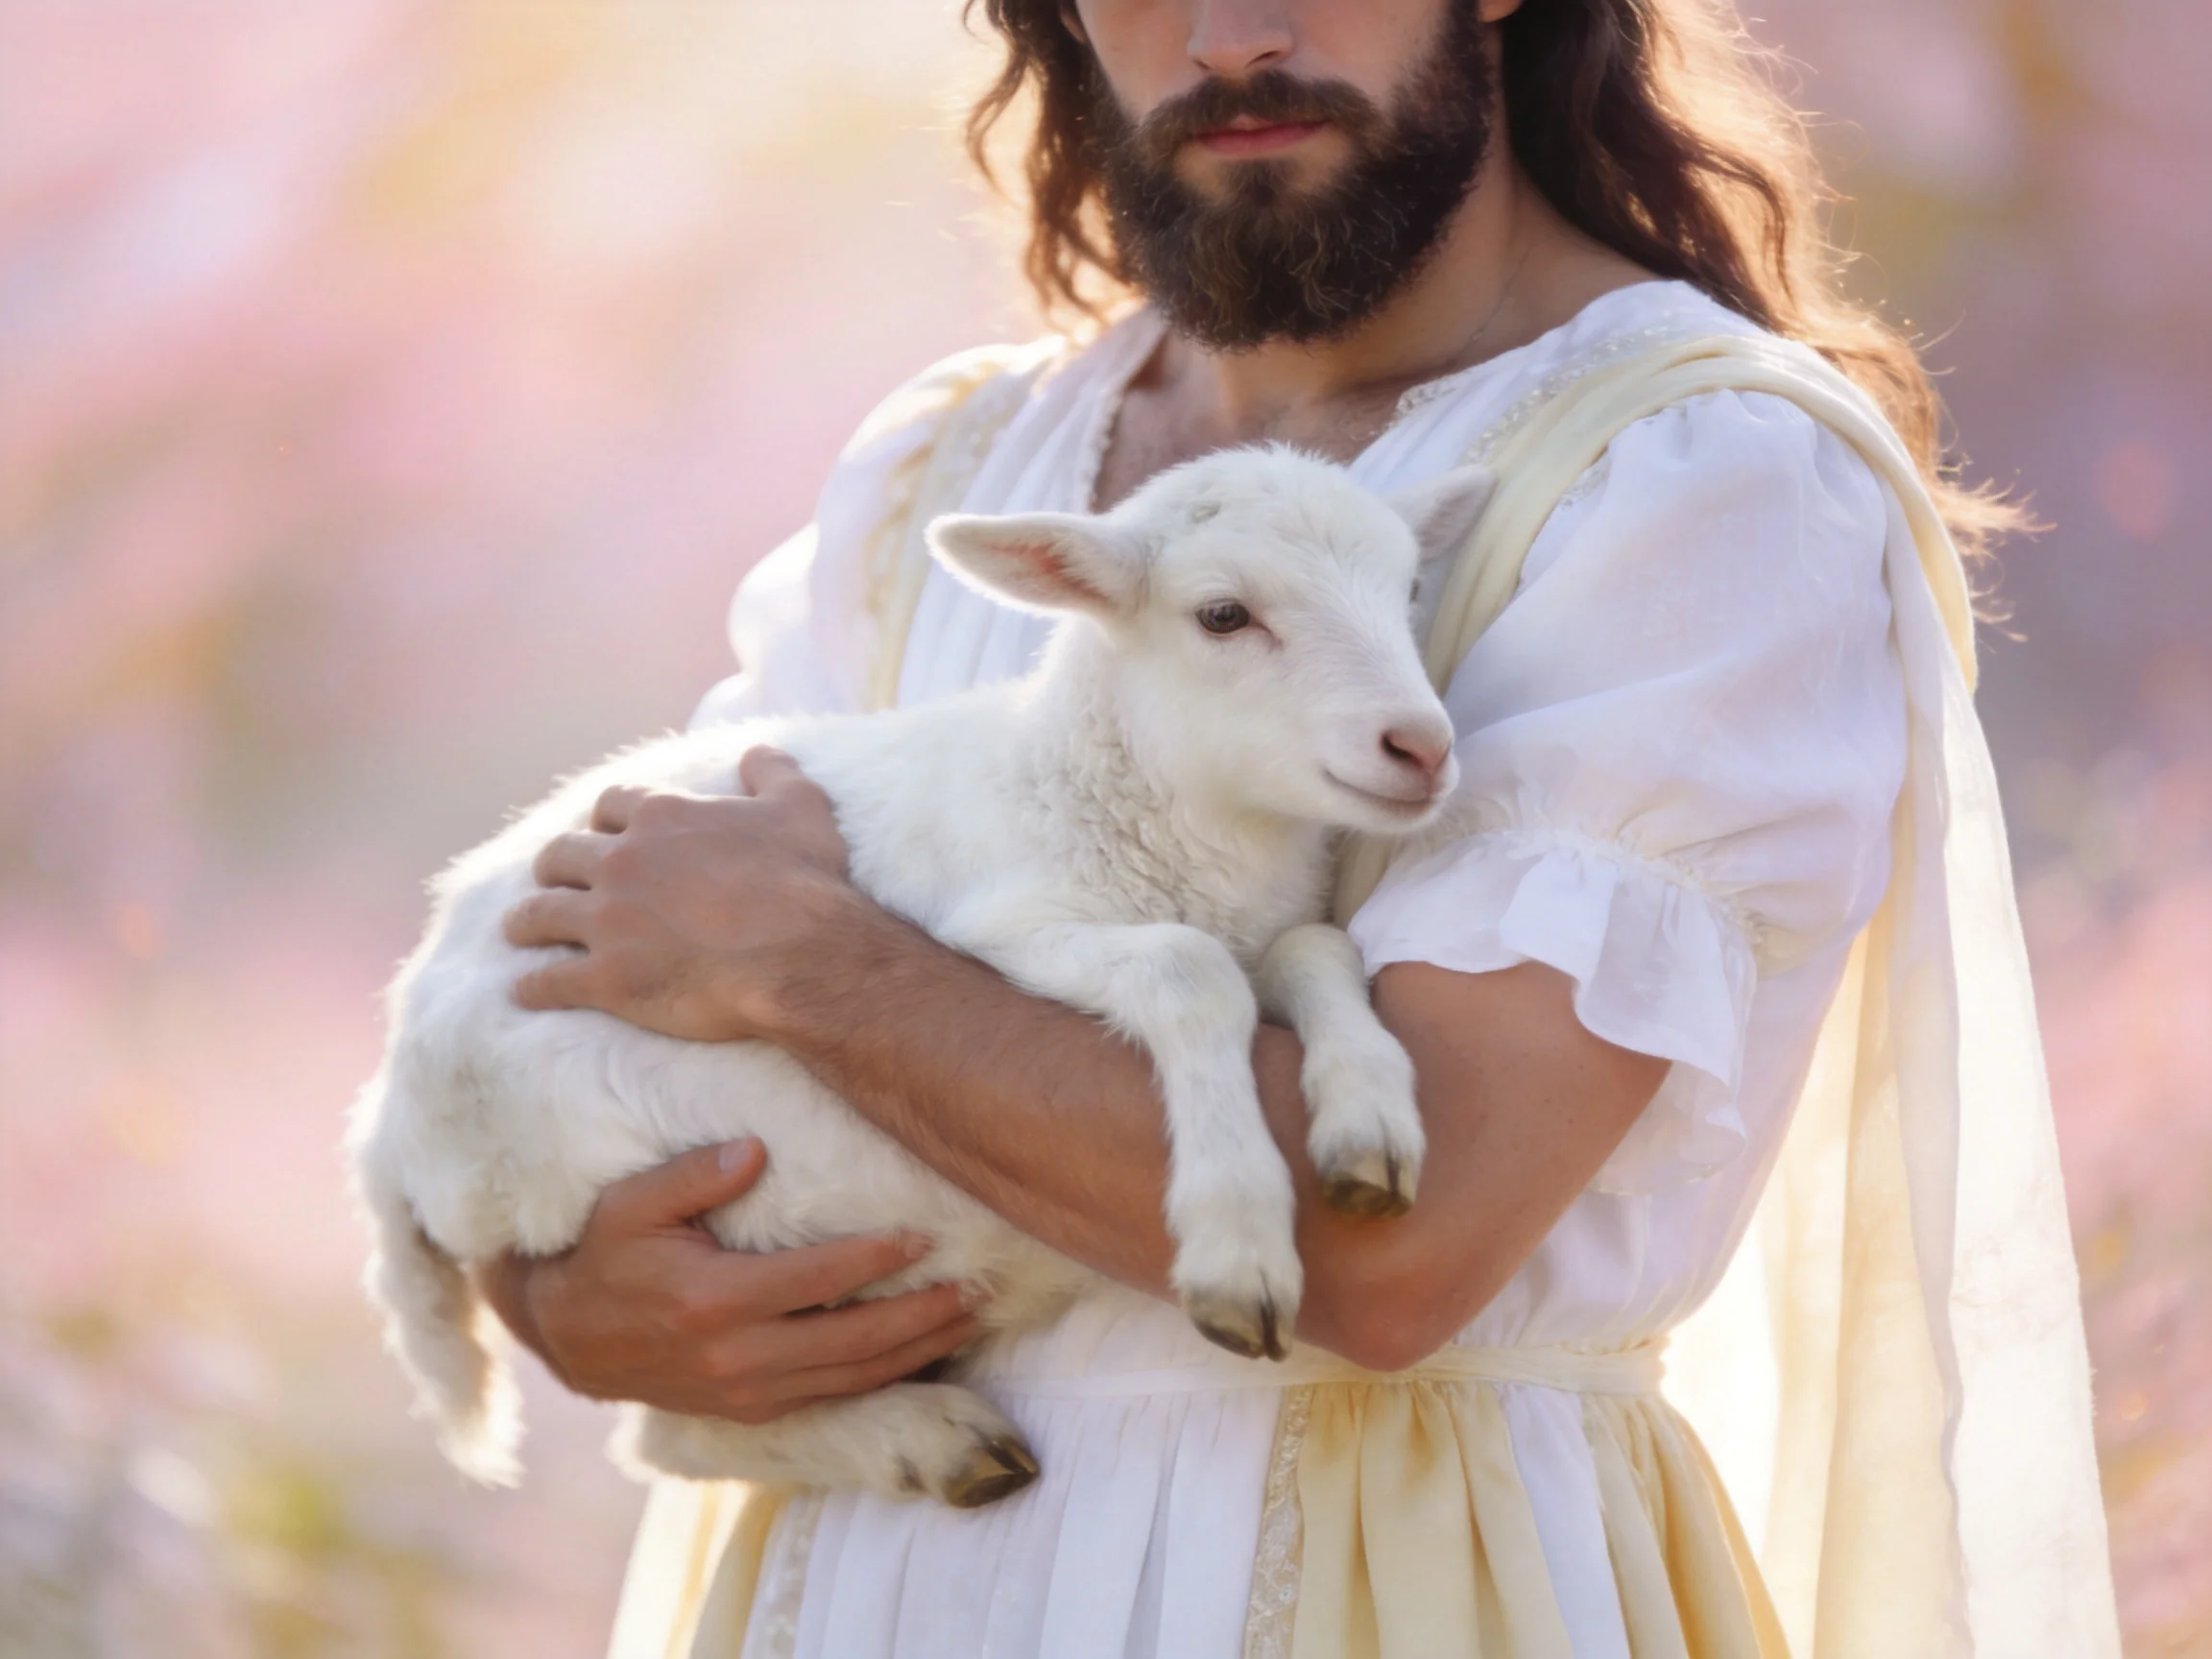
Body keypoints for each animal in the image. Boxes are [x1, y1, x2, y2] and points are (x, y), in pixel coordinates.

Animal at [347, 444, 1494, 1509]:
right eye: (1223, 615)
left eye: (1408, 590)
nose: (1421, 747)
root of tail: (385, 1120)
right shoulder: (999, 930)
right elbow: (1188, 967)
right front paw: (1238, 1240)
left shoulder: (1271, 930)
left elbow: (1316, 952)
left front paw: (1367, 1127)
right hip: (624, 1201)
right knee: (673, 1436)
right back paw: (927, 1440)